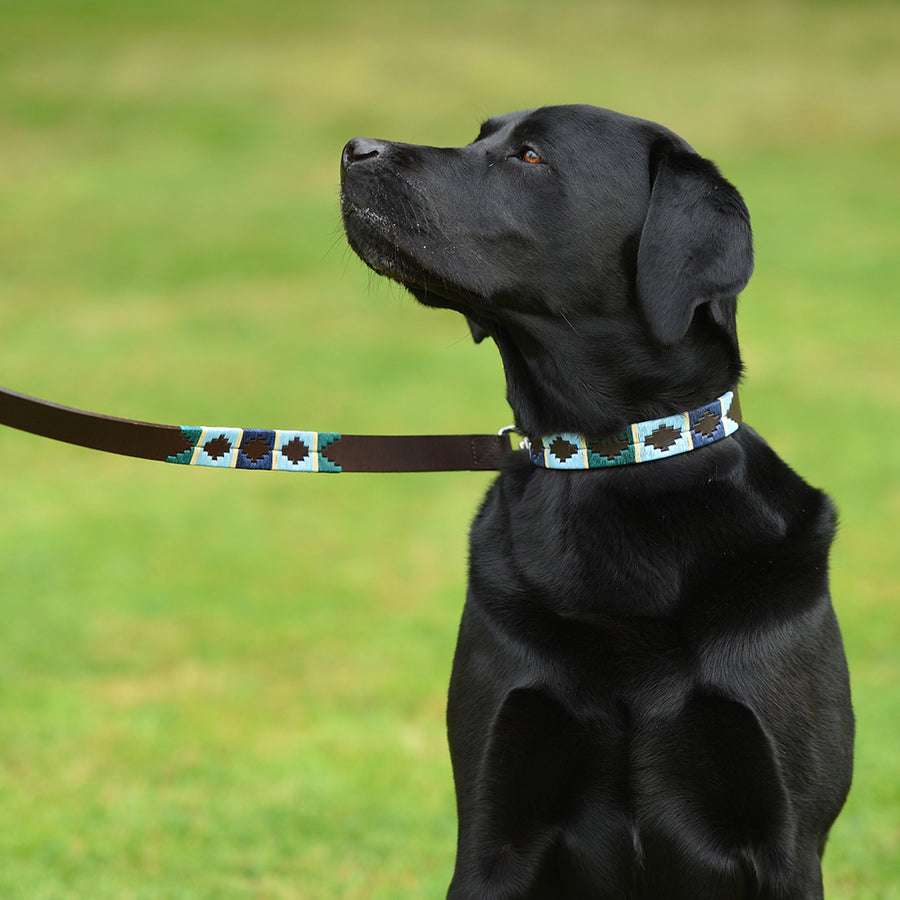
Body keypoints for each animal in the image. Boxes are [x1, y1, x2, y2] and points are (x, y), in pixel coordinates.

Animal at [342, 105, 856, 900]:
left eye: (529, 155)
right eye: (481, 135)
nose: (353, 149)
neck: (609, 459)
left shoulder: (789, 843)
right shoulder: (493, 831)